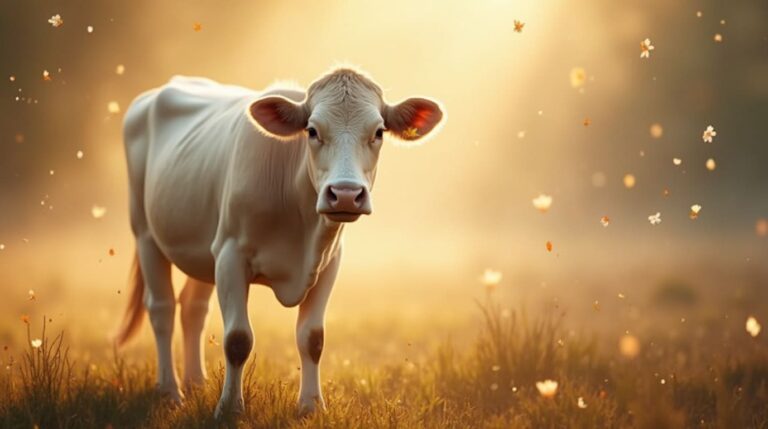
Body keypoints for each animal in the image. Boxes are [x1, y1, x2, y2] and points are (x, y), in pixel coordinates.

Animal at [114, 67, 444, 418]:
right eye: (312, 130)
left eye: (379, 132)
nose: (345, 194)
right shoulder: (231, 254)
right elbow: (237, 339)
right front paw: (229, 409)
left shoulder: (328, 261)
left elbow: (313, 338)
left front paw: (311, 406)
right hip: (145, 233)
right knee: (161, 308)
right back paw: (170, 392)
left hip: (202, 249)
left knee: (193, 308)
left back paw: (195, 384)